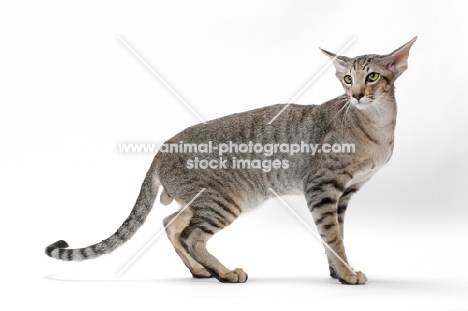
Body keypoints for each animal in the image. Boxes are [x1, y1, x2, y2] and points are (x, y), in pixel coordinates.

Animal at [44, 36, 416, 286]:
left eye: (371, 77)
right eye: (347, 79)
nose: (356, 95)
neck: (377, 128)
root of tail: (162, 148)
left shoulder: (345, 194)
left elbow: (334, 235)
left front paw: (337, 272)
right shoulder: (323, 187)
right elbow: (333, 236)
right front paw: (347, 274)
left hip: (200, 200)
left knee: (170, 223)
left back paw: (200, 270)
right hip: (226, 198)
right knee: (191, 235)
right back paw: (223, 271)